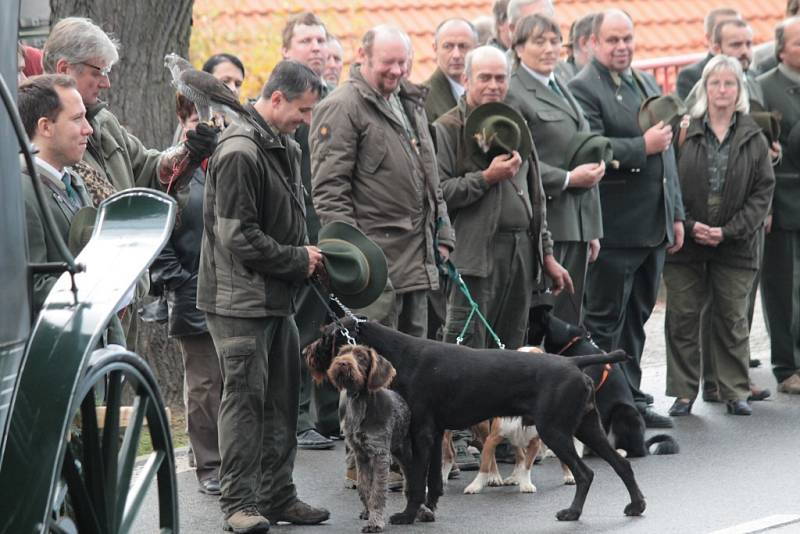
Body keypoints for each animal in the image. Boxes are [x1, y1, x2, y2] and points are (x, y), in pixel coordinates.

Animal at [304, 320, 648, 524]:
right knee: (622, 464)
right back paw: (636, 506)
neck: (402, 355)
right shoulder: (435, 433)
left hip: (556, 431)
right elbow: (433, 479)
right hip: (586, 427)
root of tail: (574, 361)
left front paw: (407, 514)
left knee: (585, 473)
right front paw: (429, 509)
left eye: (324, 336)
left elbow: (416, 481)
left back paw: (573, 512)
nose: (306, 351)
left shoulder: (421, 433)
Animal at [528, 308, 680, 458]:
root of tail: (644, 443)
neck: (569, 343)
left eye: (529, 326)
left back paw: (620, 451)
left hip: (624, 412)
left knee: (635, 451)